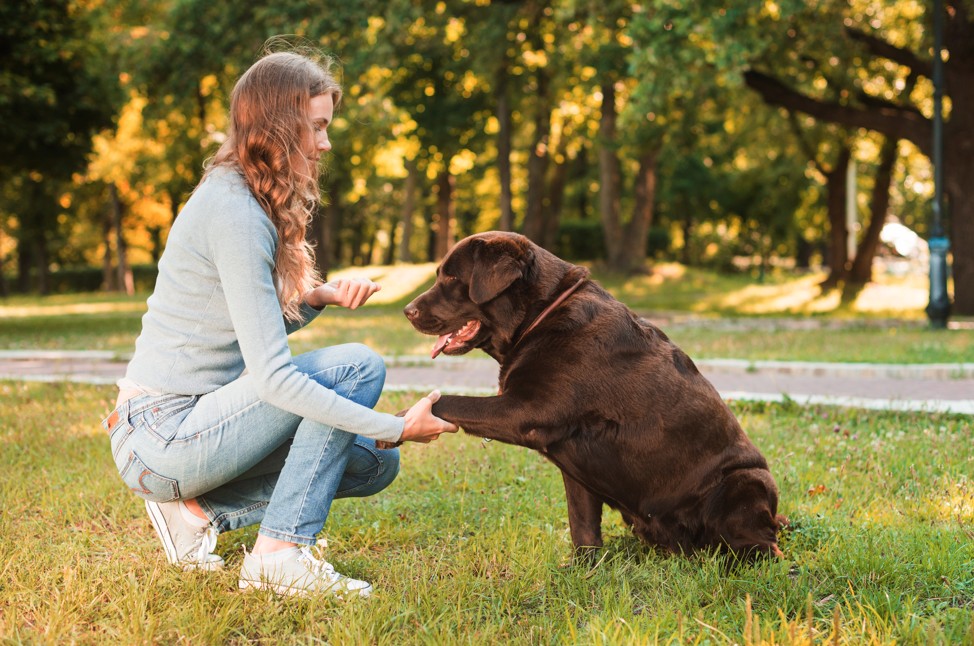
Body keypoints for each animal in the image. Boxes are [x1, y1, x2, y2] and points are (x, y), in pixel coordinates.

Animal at [404, 233, 784, 560]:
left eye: (453, 278)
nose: (408, 310)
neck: (540, 316)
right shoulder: (572, 459)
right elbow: (582, 524)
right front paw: (582, 570)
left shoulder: (526, 410)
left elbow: (450, 400)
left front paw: (407, 417)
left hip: (745, 480)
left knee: (763, 547)